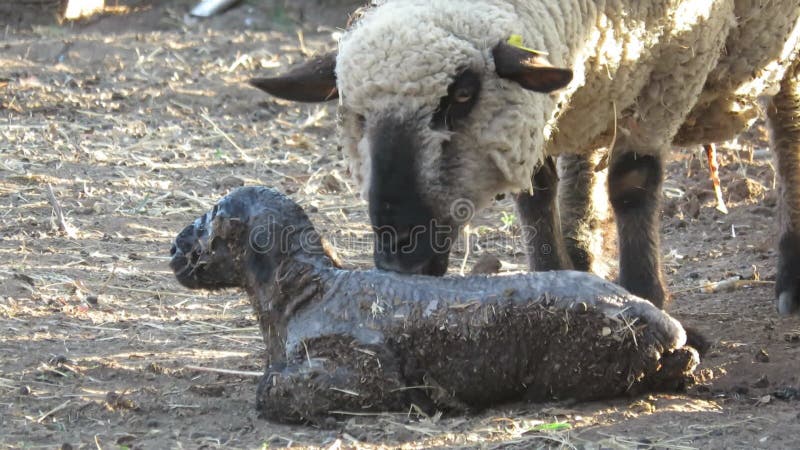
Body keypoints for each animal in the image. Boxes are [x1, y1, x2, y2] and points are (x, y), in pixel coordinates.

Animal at [252, 0, 800, 312]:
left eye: (463, 95)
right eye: (355, 114)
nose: (398, 258)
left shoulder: (666, 75)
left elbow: (632, 184)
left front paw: (646, 295)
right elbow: (535, 194)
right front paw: (553, 278)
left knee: (788, 136)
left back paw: (790, 279)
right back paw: (581, 256)